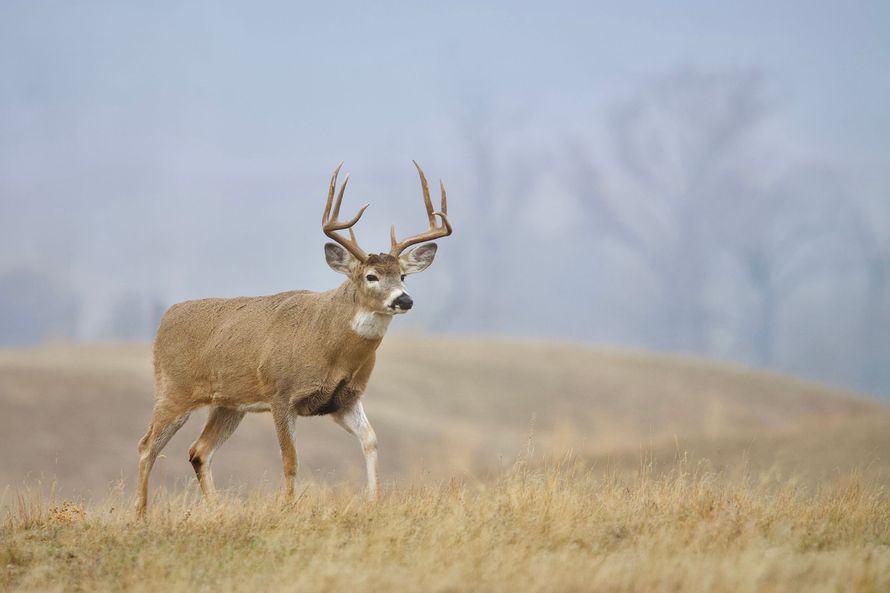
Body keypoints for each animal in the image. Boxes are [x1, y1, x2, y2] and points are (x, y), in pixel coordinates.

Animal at [136, 161, 452, 516]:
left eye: (403, 275)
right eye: (371, 276)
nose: (404, 300)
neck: (330, 347)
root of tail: (166, 318)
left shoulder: (345, 399)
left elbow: (371, 440)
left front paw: (375, 501)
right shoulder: (281, 394)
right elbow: (290, 460)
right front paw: (288, 509)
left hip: (228, 404)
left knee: (198, 450)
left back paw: (218, 511)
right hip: (173, 390)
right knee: (147, 446)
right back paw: (141, 515)